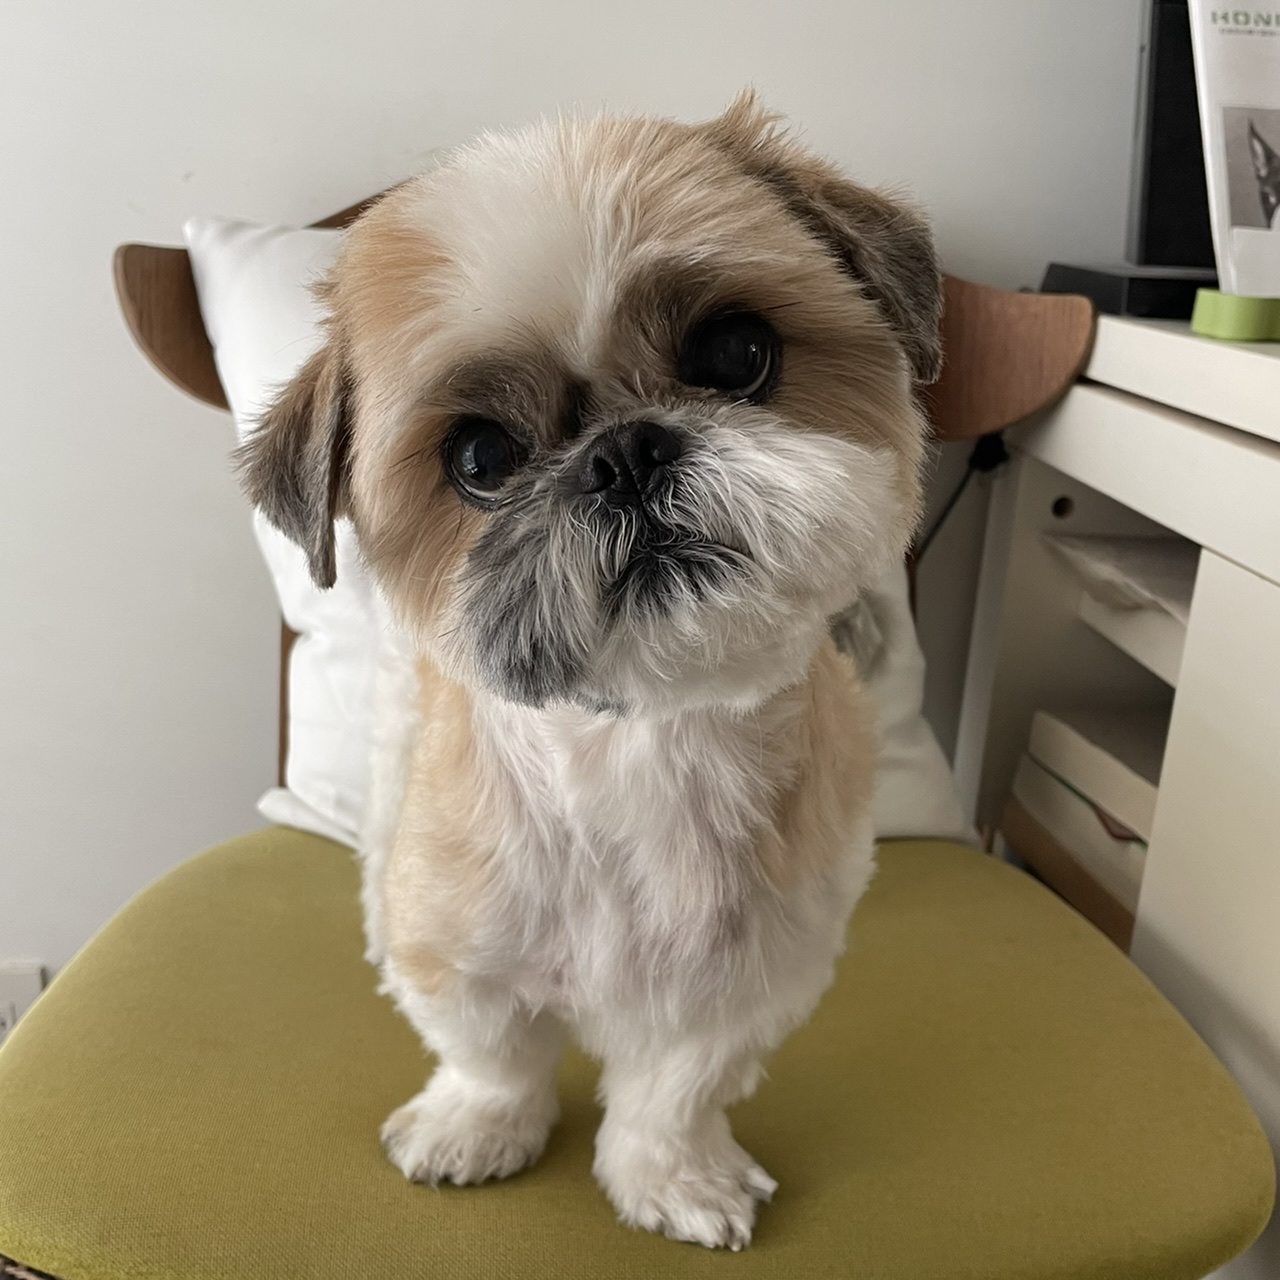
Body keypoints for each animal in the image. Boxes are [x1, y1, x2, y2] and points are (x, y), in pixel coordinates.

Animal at [238, 92, 940, 1250]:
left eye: (736, 351)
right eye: (479, 458)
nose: (625, 454)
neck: (640, 744)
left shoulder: (753, 973)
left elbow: (677, 1087)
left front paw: (670, 1172)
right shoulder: (454, 943)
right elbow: (490, 1053)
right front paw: (476, 1126)